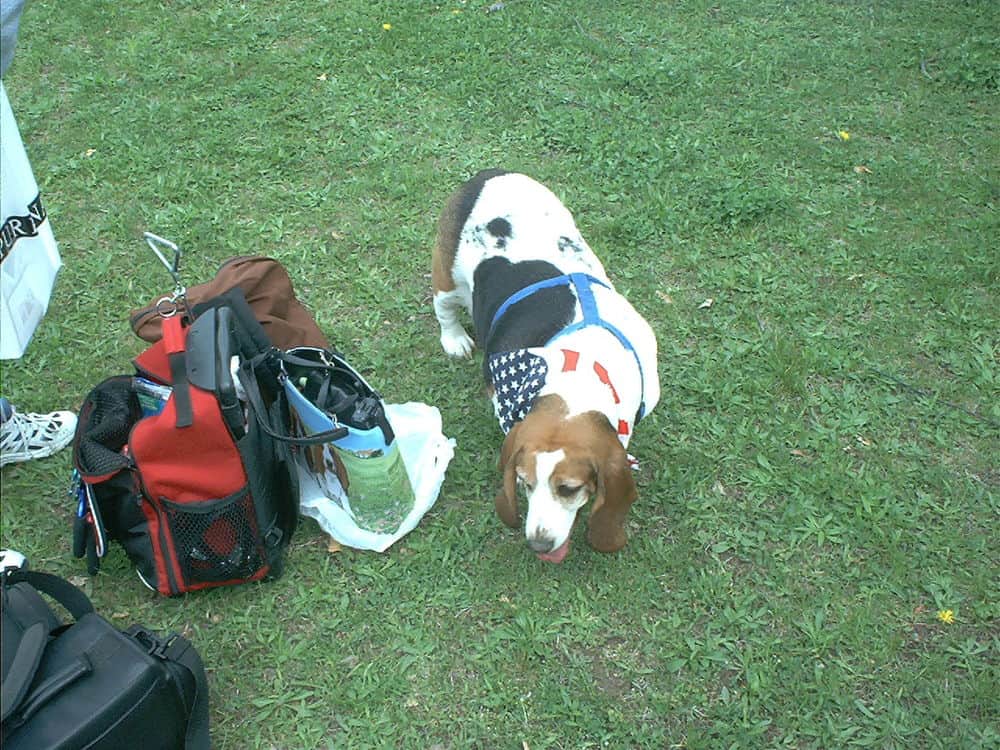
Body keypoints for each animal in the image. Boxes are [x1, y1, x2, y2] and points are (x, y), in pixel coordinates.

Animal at [432, 170, 660, 564]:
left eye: (568, 488)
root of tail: (489, 174)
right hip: (446, 279)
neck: (580, 377)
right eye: (524, 483)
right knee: (444, 308)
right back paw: (455, 339)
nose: (538, 545)